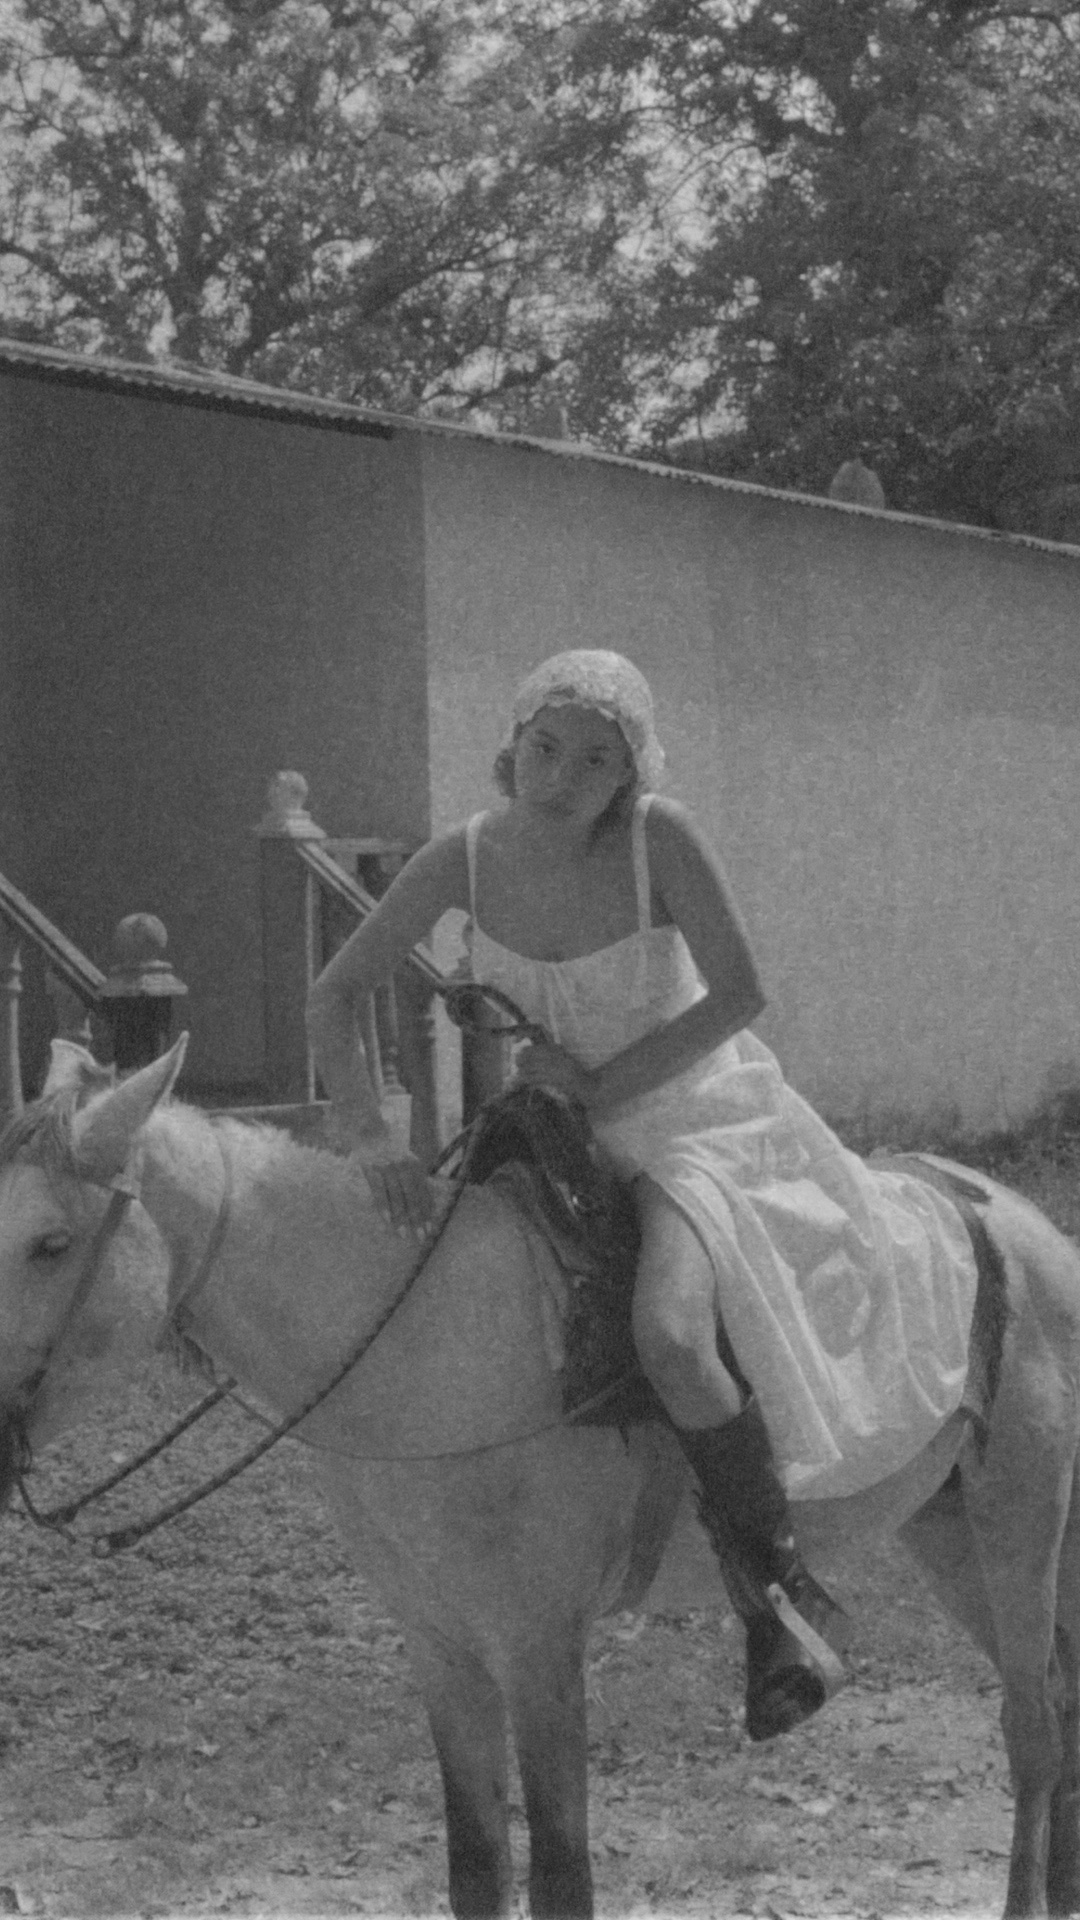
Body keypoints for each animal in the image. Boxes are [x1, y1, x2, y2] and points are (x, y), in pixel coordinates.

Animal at [1, 1035, 1079, 1920]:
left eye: (51, 1243)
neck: (433, 1340)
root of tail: (1024, 1222)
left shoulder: (539, 1648)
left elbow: (561, 1870)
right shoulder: (441, 1647)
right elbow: (477, 1864)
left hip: (1017, 1524)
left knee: (1031, 1727)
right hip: (948, 1534)